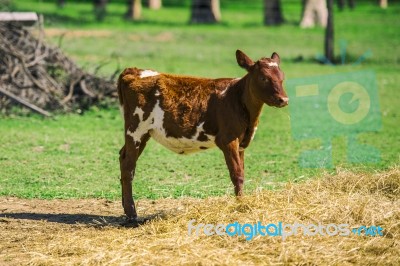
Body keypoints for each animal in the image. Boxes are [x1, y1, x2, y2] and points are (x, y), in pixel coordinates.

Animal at [117, 50, 290, 220]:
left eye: (282, 76)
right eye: (263, 77)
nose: (284, 99)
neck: (237, 99)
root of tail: (134, 71)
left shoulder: (241, 144)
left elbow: (242, 172)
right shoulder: (228, 140)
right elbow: (237, 175)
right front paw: (241, 206)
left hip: (144, 134)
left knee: (123, 157)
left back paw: (126, 208)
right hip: (135, 129)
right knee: (128, 166)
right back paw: (132, 214)